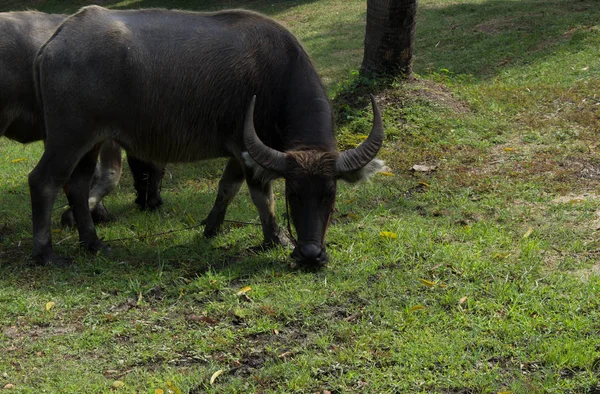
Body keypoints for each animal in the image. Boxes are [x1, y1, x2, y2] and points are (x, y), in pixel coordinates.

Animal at [30, 6, 384, 266]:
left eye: (330, 195)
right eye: (293, 194)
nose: (311, 255)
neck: (278, 77)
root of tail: (57, 39)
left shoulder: (242, 152)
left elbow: (227, 187)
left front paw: (211, 227)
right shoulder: (248, 147)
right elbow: (262, 197)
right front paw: (276, 238)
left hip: (90, 143)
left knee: (77, 186)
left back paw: (93, 243)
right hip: (68, 138)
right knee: (43, 181)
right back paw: (46, 254)